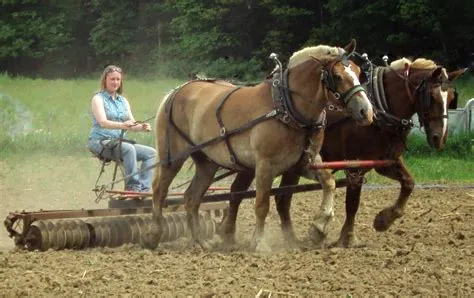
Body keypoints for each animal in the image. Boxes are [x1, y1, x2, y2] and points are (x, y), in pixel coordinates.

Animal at [148, 39, 374, 250]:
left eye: (358, 71)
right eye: (337, 76)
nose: (366, 111)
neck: (287, 107)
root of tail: (176, 91)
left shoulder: (302, 162)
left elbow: (329, 182)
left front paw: (319, 227)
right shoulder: (265, 165)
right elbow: (262, 204)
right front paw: (260, 243)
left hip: (207, 162)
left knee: (191, 198)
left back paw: (199, 242)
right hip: (172, 157)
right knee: (159, 192)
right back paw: (154, 236)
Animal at [218, 56, 466, 249]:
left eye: (451, 99)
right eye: (432, 97)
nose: (439, 138)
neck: (380, 110)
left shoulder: (385, 162)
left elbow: (409, 183)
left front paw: (384, 219)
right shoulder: (355, 165)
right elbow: (352, 203)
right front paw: (347, 238)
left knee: (281, 198)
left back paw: (291, 239)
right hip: (255, 161)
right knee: (239, 192)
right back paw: (228, 234)